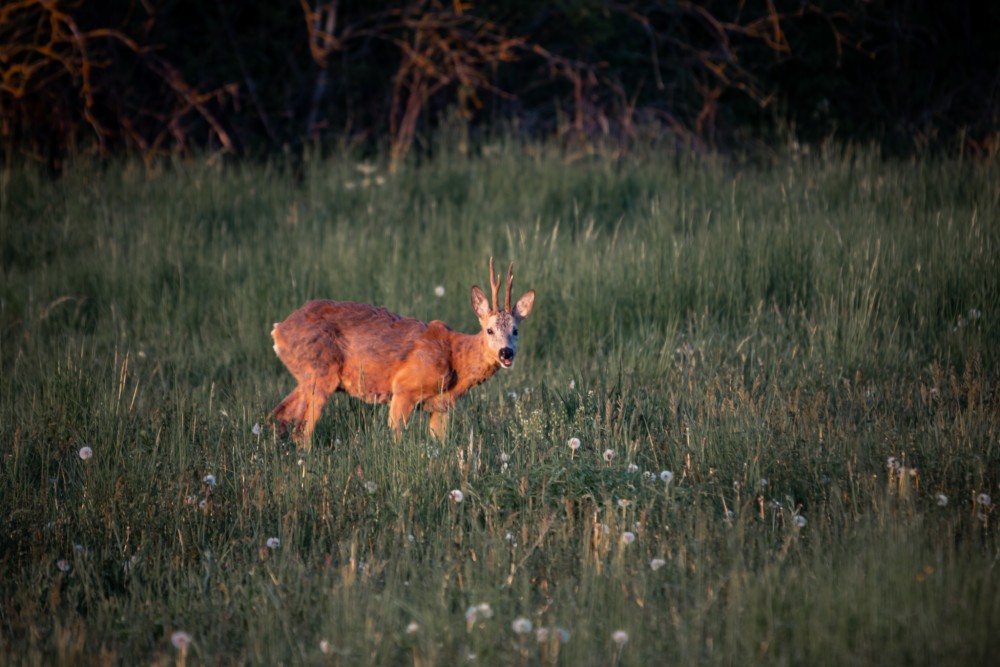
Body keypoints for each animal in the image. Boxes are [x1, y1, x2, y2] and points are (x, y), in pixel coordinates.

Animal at [270, 258, 536, 446]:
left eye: (515, 330)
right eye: (489, 330)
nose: (506, 353)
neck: (456, 358)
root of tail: (279, 330)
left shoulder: (441, 406)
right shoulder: (404, 389)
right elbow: (396, 439)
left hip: (308, 377)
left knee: (278, 417)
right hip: (321, 373)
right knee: (301, 432)